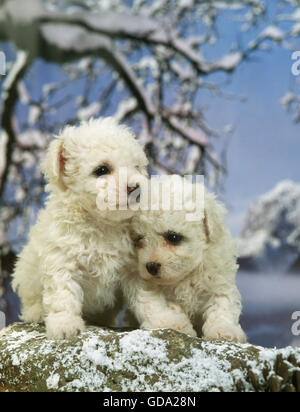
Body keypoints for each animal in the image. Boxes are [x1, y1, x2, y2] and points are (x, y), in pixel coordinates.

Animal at [12, 117, 148, 340]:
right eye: (102, 170)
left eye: (136, 167)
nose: (135, 187)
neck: (102, 223)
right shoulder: (62, 259)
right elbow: (63, 294)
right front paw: (64, 324)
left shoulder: (134, 267)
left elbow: (147, 298)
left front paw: (168, 322)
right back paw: (37, 312)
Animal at [125, 175, 247, 342]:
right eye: (139, 239)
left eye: (173, 237)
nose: (151, 266)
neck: (186, 275)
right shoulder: (141, 279)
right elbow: (153, 304)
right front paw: (171, 323)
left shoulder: (219, 281)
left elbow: (222, 305)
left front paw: (224, 330)